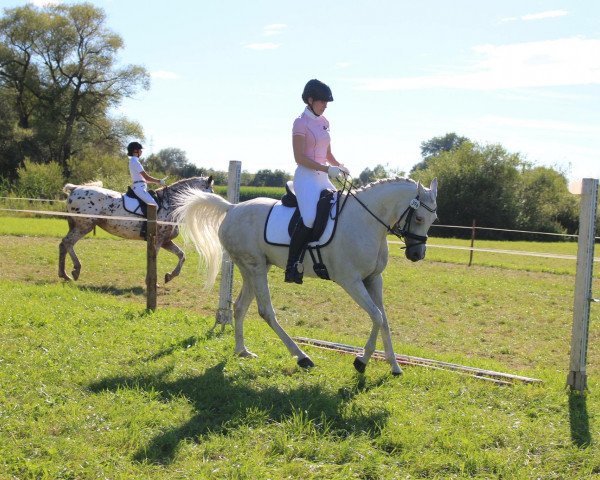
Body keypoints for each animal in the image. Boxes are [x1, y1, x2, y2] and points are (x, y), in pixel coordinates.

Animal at [58, 175, 213, 284]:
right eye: (211, 192)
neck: (170, 204)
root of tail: (75, 189)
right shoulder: (158, 240)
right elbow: (155, 259)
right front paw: (152, 282)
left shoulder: (166, 241)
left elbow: (182, 255)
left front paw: (169, 276)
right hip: (84, 226)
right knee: (68, 242)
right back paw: (75, 270)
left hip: (77, 226)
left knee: (63, 244)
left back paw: (64, 274)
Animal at [173, 176, 436, 376]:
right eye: (419, 218)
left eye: (433, 219)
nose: (417, 254)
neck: (366, 221)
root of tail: (233, 208)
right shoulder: (351, 281)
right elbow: (377, 316)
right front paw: (361, 361)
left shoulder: (373, 280)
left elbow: (384, 320)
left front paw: (394, 366)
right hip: (255, 267)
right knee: (266, 311)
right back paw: (302, 357)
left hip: (254, 268)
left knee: (239, 307)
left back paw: (242, 351)